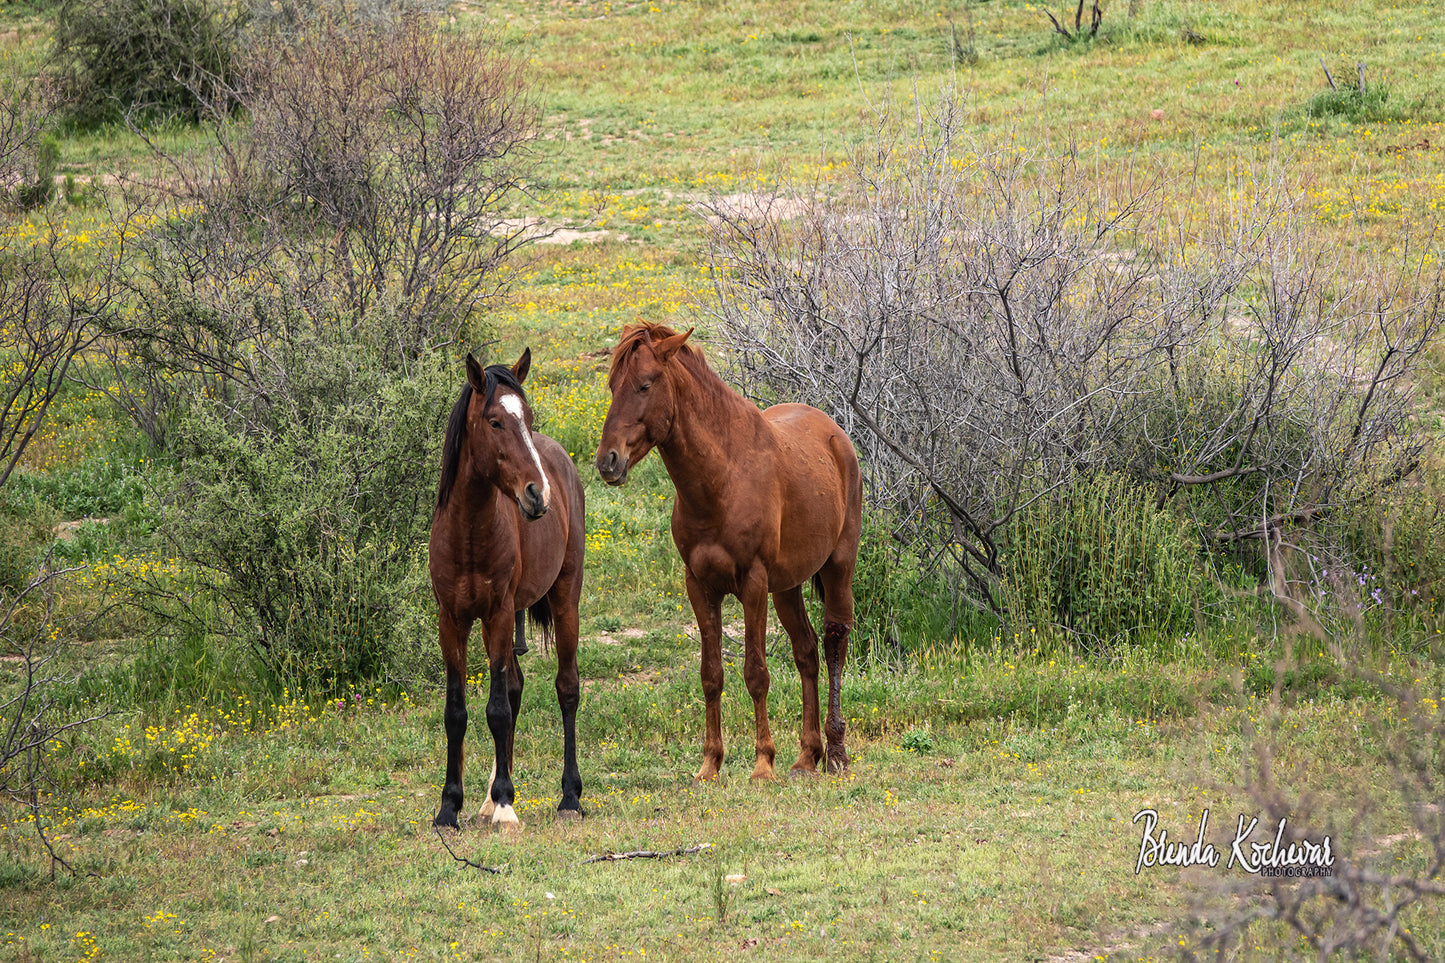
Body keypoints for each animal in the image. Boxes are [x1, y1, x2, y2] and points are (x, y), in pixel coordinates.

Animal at [429, 348, 585, 829]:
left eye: (527, 417)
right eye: (495, 421)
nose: (538, 494)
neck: (467, 535)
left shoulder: (498, 613)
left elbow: (496, 709)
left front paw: (505, 806)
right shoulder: (453, 621)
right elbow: (457, 711)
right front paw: (451, 805)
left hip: (565, 599)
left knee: (566, 688)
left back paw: (569, 796)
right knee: (514, 687)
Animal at [595, 322, 861, 781]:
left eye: (645, 384)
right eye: (613, 386)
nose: (608, 461)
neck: (721, 478)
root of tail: (836, 435)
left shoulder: (753, 583)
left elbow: (755, 673)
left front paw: (762, 764)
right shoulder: (699, 585)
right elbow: (711, 675)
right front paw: (710, 764)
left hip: (836, 568)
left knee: (833, 644)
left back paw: (836, 752)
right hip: (786, 588)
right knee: (806, 652)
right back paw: (807, 755)